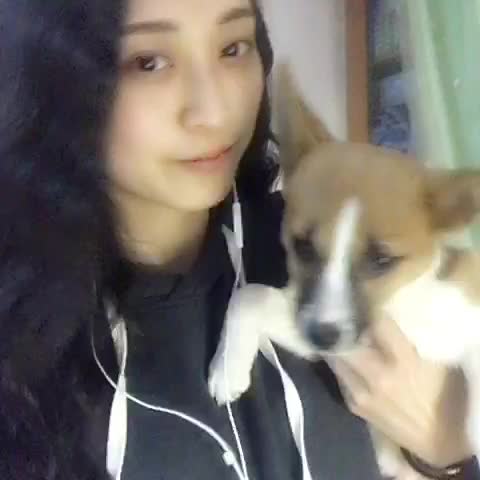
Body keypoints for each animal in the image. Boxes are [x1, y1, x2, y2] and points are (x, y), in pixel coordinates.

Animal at [208, 64, 480, 478]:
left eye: (382, 260)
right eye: (302, 246)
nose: (323, 335)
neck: (401, 307)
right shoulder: (333, 342)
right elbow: (249, 295)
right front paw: (227, 366)